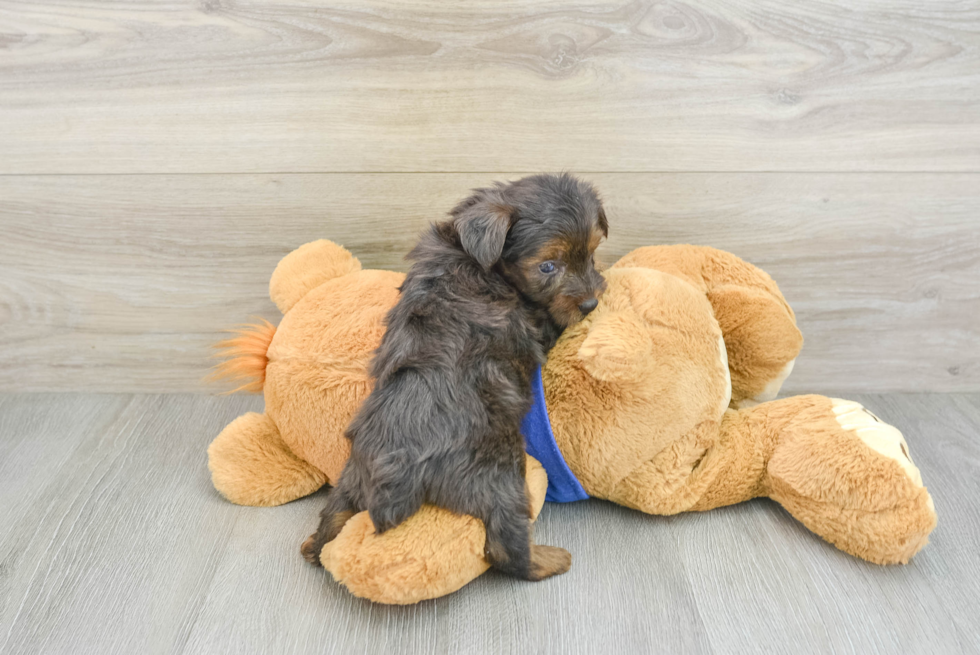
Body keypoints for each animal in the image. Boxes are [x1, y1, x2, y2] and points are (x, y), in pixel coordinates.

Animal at [300, 173, 604, 580]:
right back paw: (546, 561)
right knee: (505, 545)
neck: (470, 253)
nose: (590, 304)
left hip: (353, 474)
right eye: (547, 267)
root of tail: (397, 472)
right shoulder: (539, 324)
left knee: (335, 513)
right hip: (499, 472)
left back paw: (313, 545)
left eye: (592, 254)